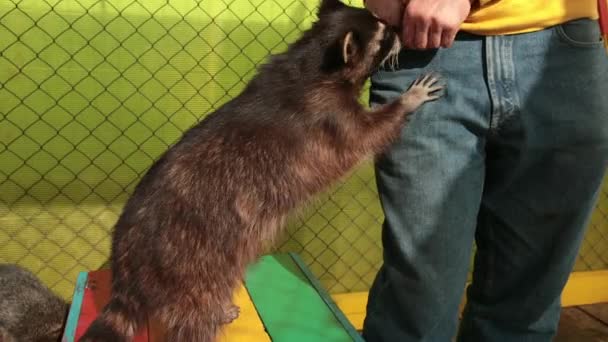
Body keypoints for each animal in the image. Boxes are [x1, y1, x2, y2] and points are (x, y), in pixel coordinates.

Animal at [79, 0, 442, 342]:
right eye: (383, 35)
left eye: (382, 22)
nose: (401, 28)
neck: (311, 60)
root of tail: (126, 260)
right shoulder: (330, 117)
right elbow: (369, 134)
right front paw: (406, 102)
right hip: (191, 264)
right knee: (196, 312)